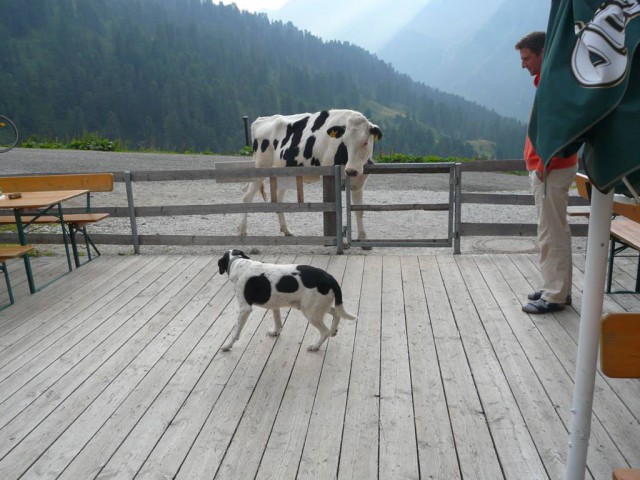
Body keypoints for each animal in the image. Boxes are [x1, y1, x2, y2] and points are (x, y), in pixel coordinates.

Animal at [215, 249, 356, 350]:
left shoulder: (244, 309)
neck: (238, 263)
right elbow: (278, 322)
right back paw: (334, 331)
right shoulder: (274, 305)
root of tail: (329, 278)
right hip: (318, 307)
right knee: (336, 313)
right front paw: (275, 332)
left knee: (325, 331)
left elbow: (235, 331)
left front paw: (227, 345)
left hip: (311, 313)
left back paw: (315, 346)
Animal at [239, 110, 380, 242]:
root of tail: (261, 120)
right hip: (260, 169)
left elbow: (359, 210)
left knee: (276, 199)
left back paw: (286, 230)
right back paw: (242, 231)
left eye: (365, 142)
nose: (351, 171)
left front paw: (363, 238)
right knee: (247, 196)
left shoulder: (359, 181)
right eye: (344, 142)